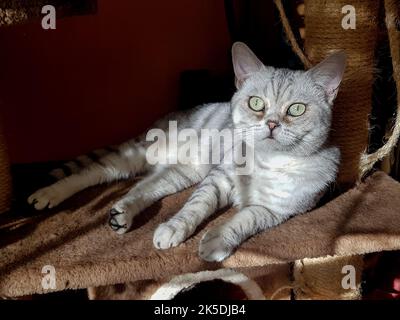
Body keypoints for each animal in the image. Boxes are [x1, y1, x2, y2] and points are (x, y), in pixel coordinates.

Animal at [29, 42, 346, 262]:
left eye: (297, 109)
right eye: (256, 103)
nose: (271, 123)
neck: (267, 162)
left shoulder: (276, 210)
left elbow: (242, 221)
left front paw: (216, 242)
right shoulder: (218, 179)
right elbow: (194, 207)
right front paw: (174, 228)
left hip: (178, 174)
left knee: (142, 190)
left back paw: (122, 214)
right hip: (135, 155)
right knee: (93, 173)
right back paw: (48, 194)